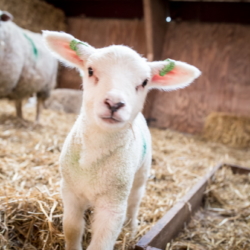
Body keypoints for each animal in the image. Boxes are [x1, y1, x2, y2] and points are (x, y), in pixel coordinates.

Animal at [42, 29, 200, 250]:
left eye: (144, 82)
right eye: (90, 70)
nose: (114, 103)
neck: (93, 158)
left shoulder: (114, 205)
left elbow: (101, 244)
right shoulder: (70, 192)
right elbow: (72, 228)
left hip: (140, 175)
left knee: (134, 204)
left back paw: (132, 229)